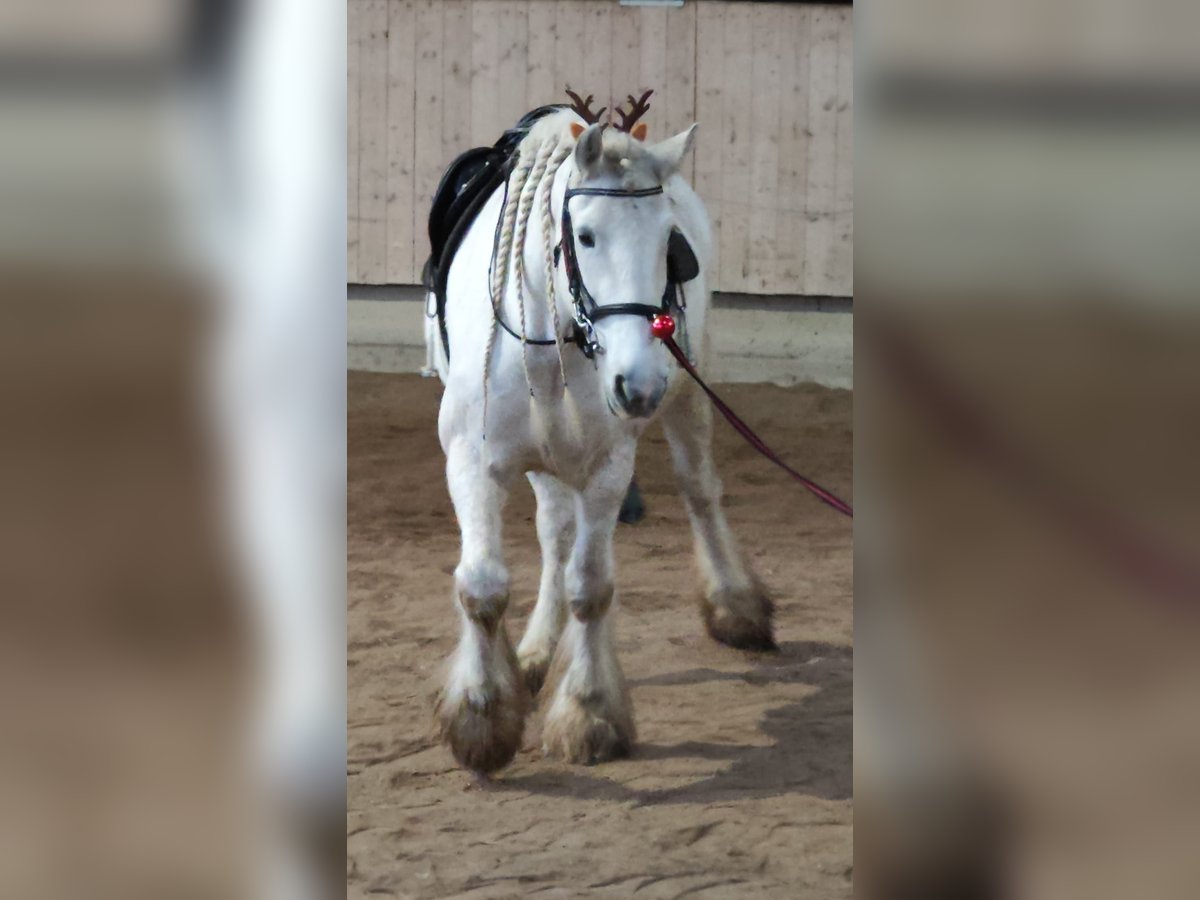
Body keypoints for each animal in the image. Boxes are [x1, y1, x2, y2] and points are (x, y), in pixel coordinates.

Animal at [425, 103, 774, 774]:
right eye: (584, 236)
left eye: (669, 241)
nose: (637, 384)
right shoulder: (471, 463)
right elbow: (482, 585)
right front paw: (482, 719)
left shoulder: (609, 466)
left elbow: (590, 587)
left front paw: (588, 714)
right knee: (554, 531)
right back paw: (535, 652)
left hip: (689, 395)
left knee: (698, 489)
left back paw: (735, 607)